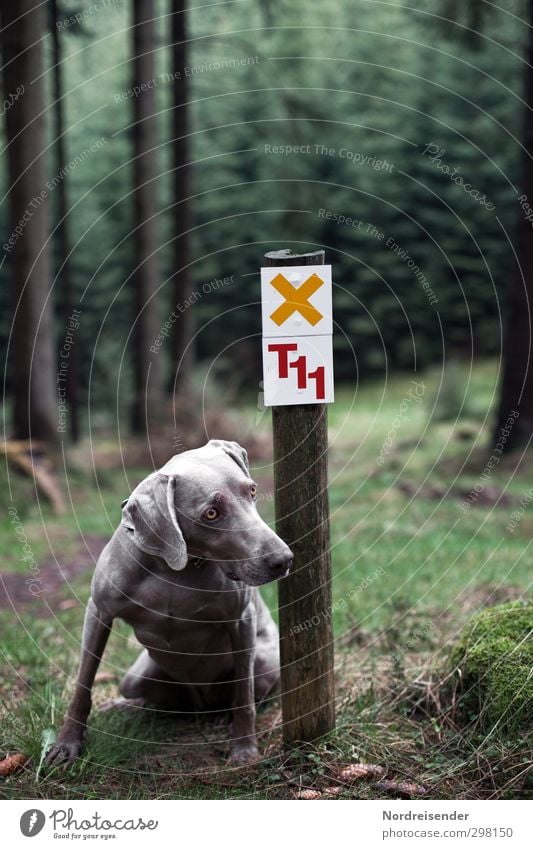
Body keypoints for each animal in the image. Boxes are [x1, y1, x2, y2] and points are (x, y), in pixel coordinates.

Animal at [45, 440, 294, 764]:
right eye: (211, 513)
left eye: (251, 491)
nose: (284, 560)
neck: (171, 569)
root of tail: (200, 703)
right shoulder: (98, 612)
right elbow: (82, 684)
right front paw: (67, 744)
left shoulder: (242, 619)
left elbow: (243, 694)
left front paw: (243, 749)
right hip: (136, 677)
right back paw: (126, 708)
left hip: (264, 659)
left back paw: (221, 716)